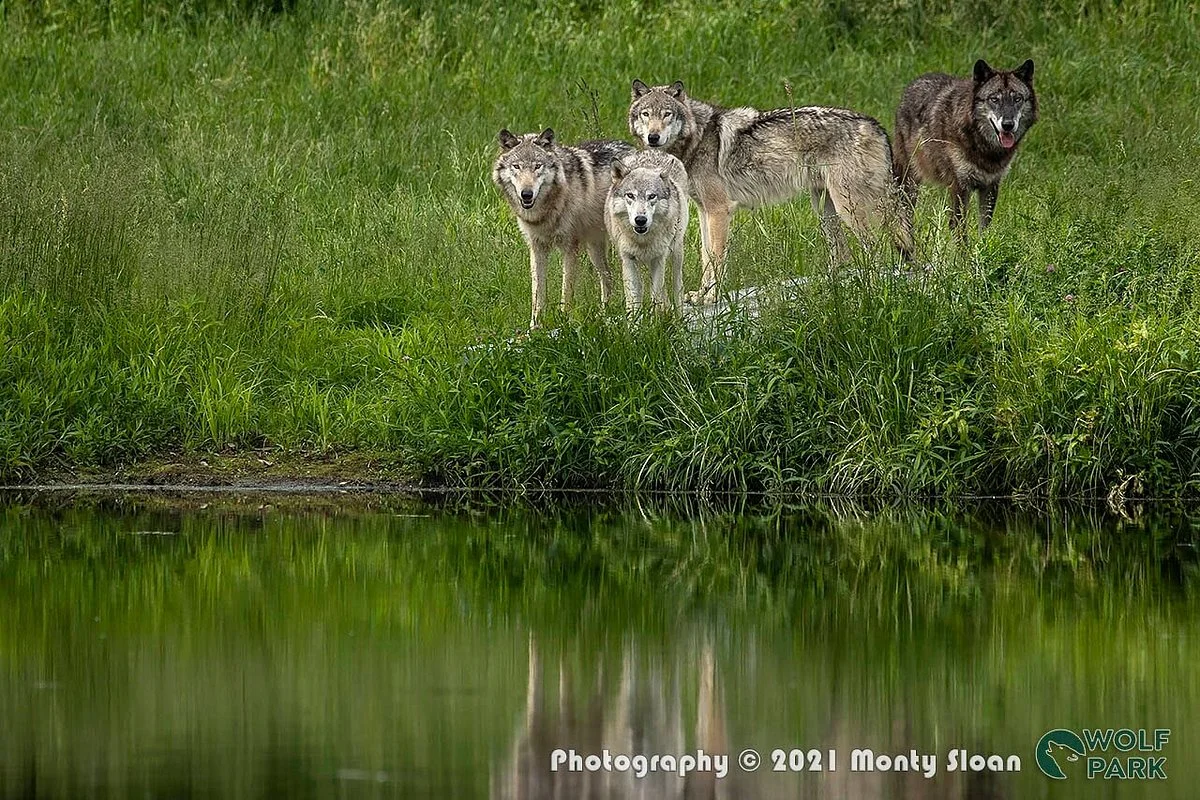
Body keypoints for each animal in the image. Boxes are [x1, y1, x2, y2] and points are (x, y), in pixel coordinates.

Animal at [493, 128, 635, 327]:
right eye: (517, 166)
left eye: (537, 166)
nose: (526, 194)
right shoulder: (536, 248)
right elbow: (537, 294)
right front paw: (535, 327)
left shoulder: (570, 247)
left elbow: (566, 291)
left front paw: (564, 321)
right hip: (594, 249)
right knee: (608, 276)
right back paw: (604, 314)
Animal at [606, 149, 690, 313]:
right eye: (630, 195)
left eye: (651, 196)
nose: (640, 219)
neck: (643, 241)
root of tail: (656, 151)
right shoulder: (628, 260)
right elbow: (633, 300)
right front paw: (636, 320)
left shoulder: (659, 258)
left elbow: (655, 295)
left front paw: (655, 318)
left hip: (676, 253)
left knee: (677, 287)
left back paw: (679, 315)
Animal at [628, 79, 912, 305]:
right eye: (645, 114)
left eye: (666, 114)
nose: (653, 137)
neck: (696, 138)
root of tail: (875, 123)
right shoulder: (704, 211)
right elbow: (705, 256)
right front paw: (701, 295)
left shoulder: (719, 210)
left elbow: (716, 258)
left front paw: (711, 297)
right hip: (824, 207)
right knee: (844, 254)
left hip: (849, 207)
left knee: (874, 246)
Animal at [893, 59, 1038, 236]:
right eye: (994, 99)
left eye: (1017, 99)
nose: (1008, 125)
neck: (985, 149)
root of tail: (915, 82)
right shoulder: (960, 186)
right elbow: (959, 229)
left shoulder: (991, 186)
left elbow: (985, 227)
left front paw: (983, 244)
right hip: (909, 182)